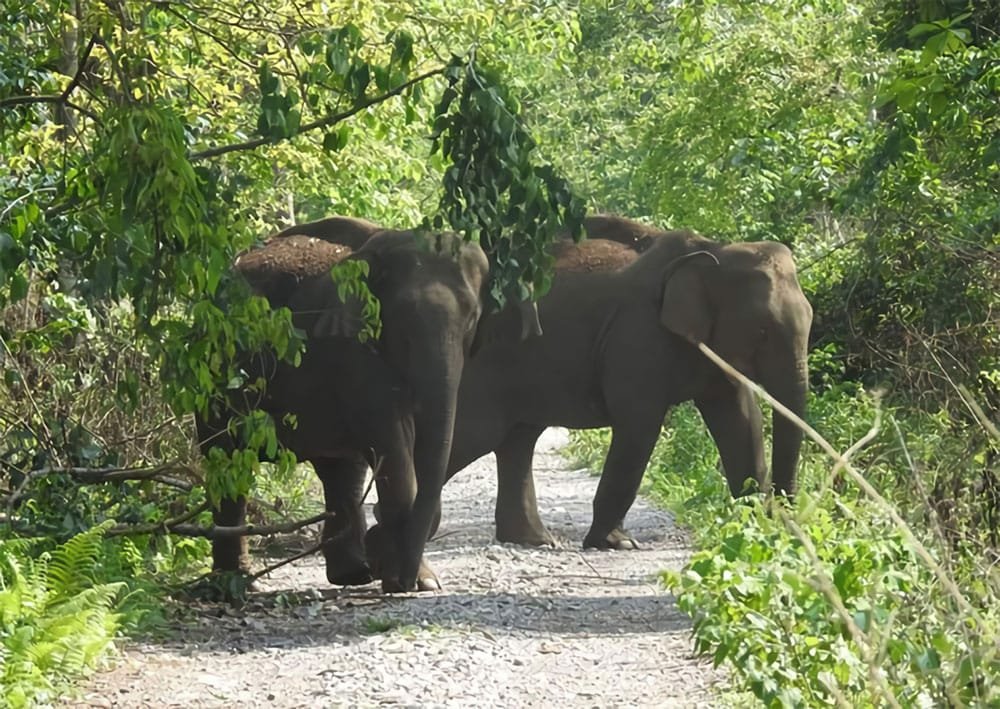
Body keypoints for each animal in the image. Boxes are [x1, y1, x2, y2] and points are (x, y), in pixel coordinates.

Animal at [198, 217, 488, 592]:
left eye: (472, 320)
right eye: (401, 324)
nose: (403, 581)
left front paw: (418, 580)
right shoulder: (353, 349)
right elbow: (393, 441)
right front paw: (410, 578)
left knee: (341, 471)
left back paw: (353, 575)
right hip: (212, 367)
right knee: (226, 462)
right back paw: (230, 584)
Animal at [450, 216, 816, 548]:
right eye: (762, 331)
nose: (786, 516)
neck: (715, 251)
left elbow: (741, 420)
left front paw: (759, 527)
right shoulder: (636, 335)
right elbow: (640, 425)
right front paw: (616, 543)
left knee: (518, 440)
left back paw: (535, 541)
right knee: (476, 433)